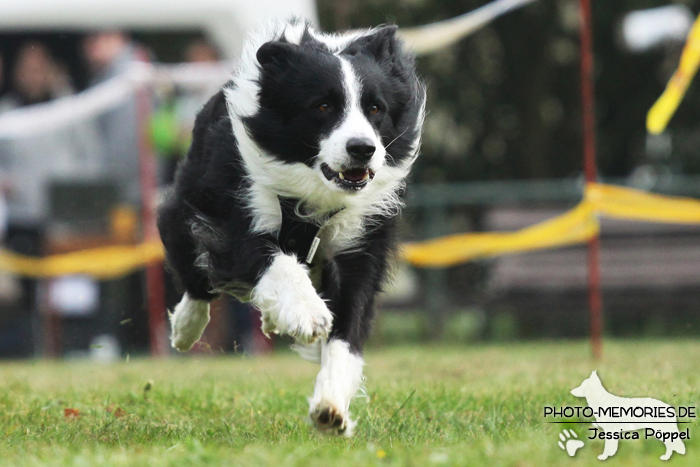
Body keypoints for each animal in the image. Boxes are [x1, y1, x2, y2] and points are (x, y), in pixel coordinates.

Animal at [157, 18, 424, 436]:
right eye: (323, 106)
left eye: (375, 108)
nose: (362, 149)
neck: (316, 192)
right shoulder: (236, 211)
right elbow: (275, 261)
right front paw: (307, 313)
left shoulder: (361, 241)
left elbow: (348, 328)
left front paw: (331, 409)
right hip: (191, 199)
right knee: (194, 271)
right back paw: (185, 330)